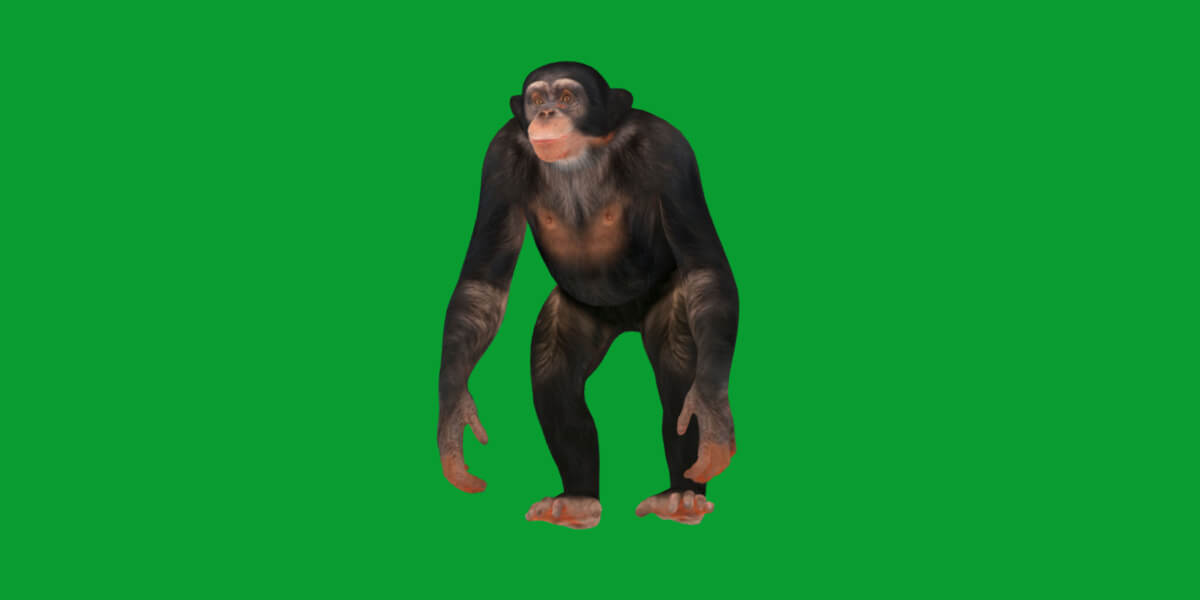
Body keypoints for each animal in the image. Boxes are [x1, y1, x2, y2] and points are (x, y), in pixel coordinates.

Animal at [436, 62, 738, 528]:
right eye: (536, 100)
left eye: (567, 98)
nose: (546, 115)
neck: (585, 153)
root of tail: (624, 320)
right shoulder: (499, 156)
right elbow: (482, 284)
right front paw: (453, 414)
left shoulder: (669, 150)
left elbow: (705, 267)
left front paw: (712, 410)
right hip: (578, 312)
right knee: (554, 367)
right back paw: (577, 499)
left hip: (667, 301)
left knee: (677, 358)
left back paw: (682, 495)